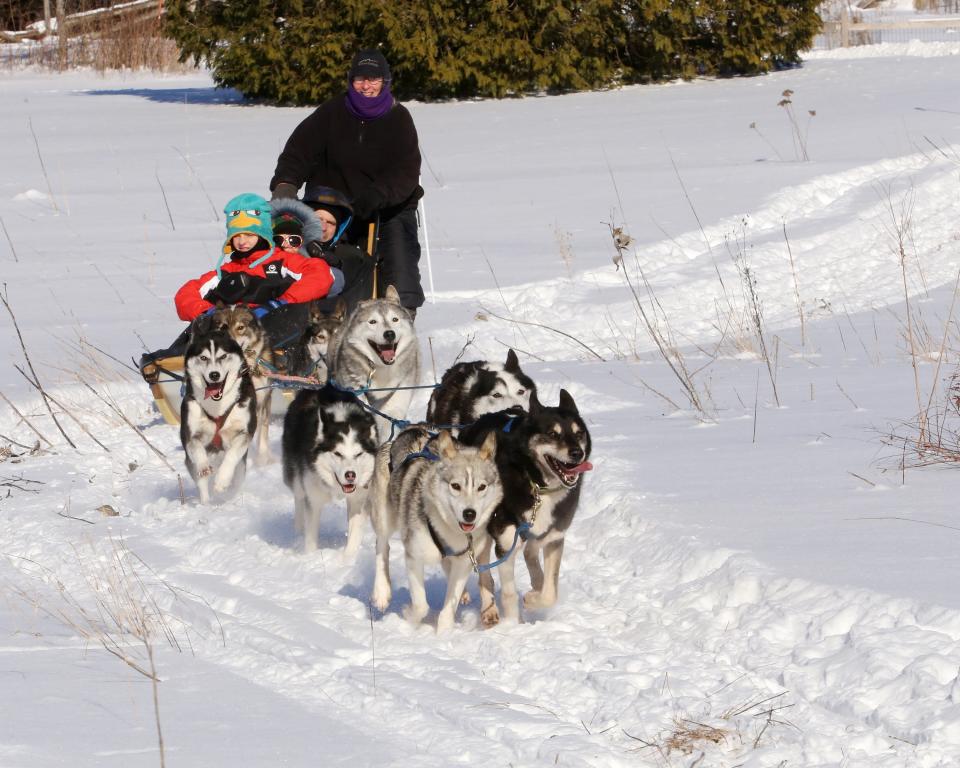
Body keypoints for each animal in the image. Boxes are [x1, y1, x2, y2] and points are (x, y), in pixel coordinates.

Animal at [280, 384, 376, 560]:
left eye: (358, 454)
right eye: (337, 454)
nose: (350, 475)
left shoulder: (359, 499)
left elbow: (354, 533)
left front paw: (348, 559)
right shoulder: (313, 498)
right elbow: (310, 536)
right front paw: (310, 557)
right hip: (296, 477)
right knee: (299, 499)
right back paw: (297, 532)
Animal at [368, 426, 502, 632]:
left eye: (481, 487)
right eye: (455, 486)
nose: (469, 514)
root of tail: (412, 429)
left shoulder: (463, 562)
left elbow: (449, 608)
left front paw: (444, 633)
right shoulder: (414, 557)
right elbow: (421, 606)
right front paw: (409, 616)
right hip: (383, 516)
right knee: (382, 546)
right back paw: (382, 592)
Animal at [458, 390, 592, 624]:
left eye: (579, 433)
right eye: (553, 434)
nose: (577, 453)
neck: (537, 485)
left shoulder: (555, 537)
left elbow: (551, 592)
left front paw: (533, 599)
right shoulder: (505, 543)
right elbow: (508, 593)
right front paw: (514, 624)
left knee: (531, 551)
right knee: (483, 573)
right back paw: (488, 609)